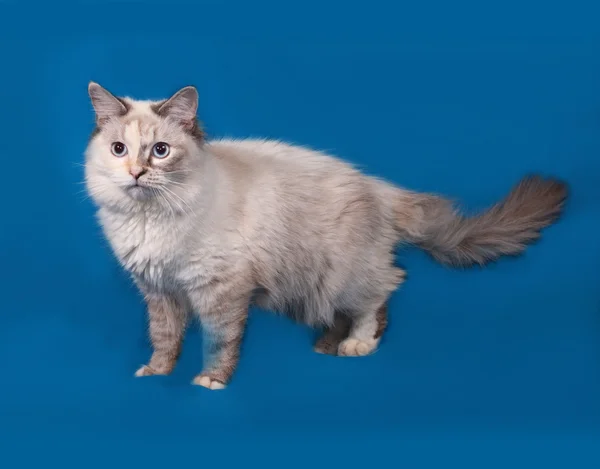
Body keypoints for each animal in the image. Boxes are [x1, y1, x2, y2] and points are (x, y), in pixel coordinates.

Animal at [83, 82, 568, 390]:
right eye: (119, 150)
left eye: (161, 151)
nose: (136, 173)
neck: (151, 219)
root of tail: (377, 186)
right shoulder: (160, 291)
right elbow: (165, 339)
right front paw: (157, 373)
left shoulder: (220, 291)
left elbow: (219, 341)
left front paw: (210, 381)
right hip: (315, 283)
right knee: (352, 308)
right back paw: (327, 346)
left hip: (343, 275)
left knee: (381, 295)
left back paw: (356, 346)